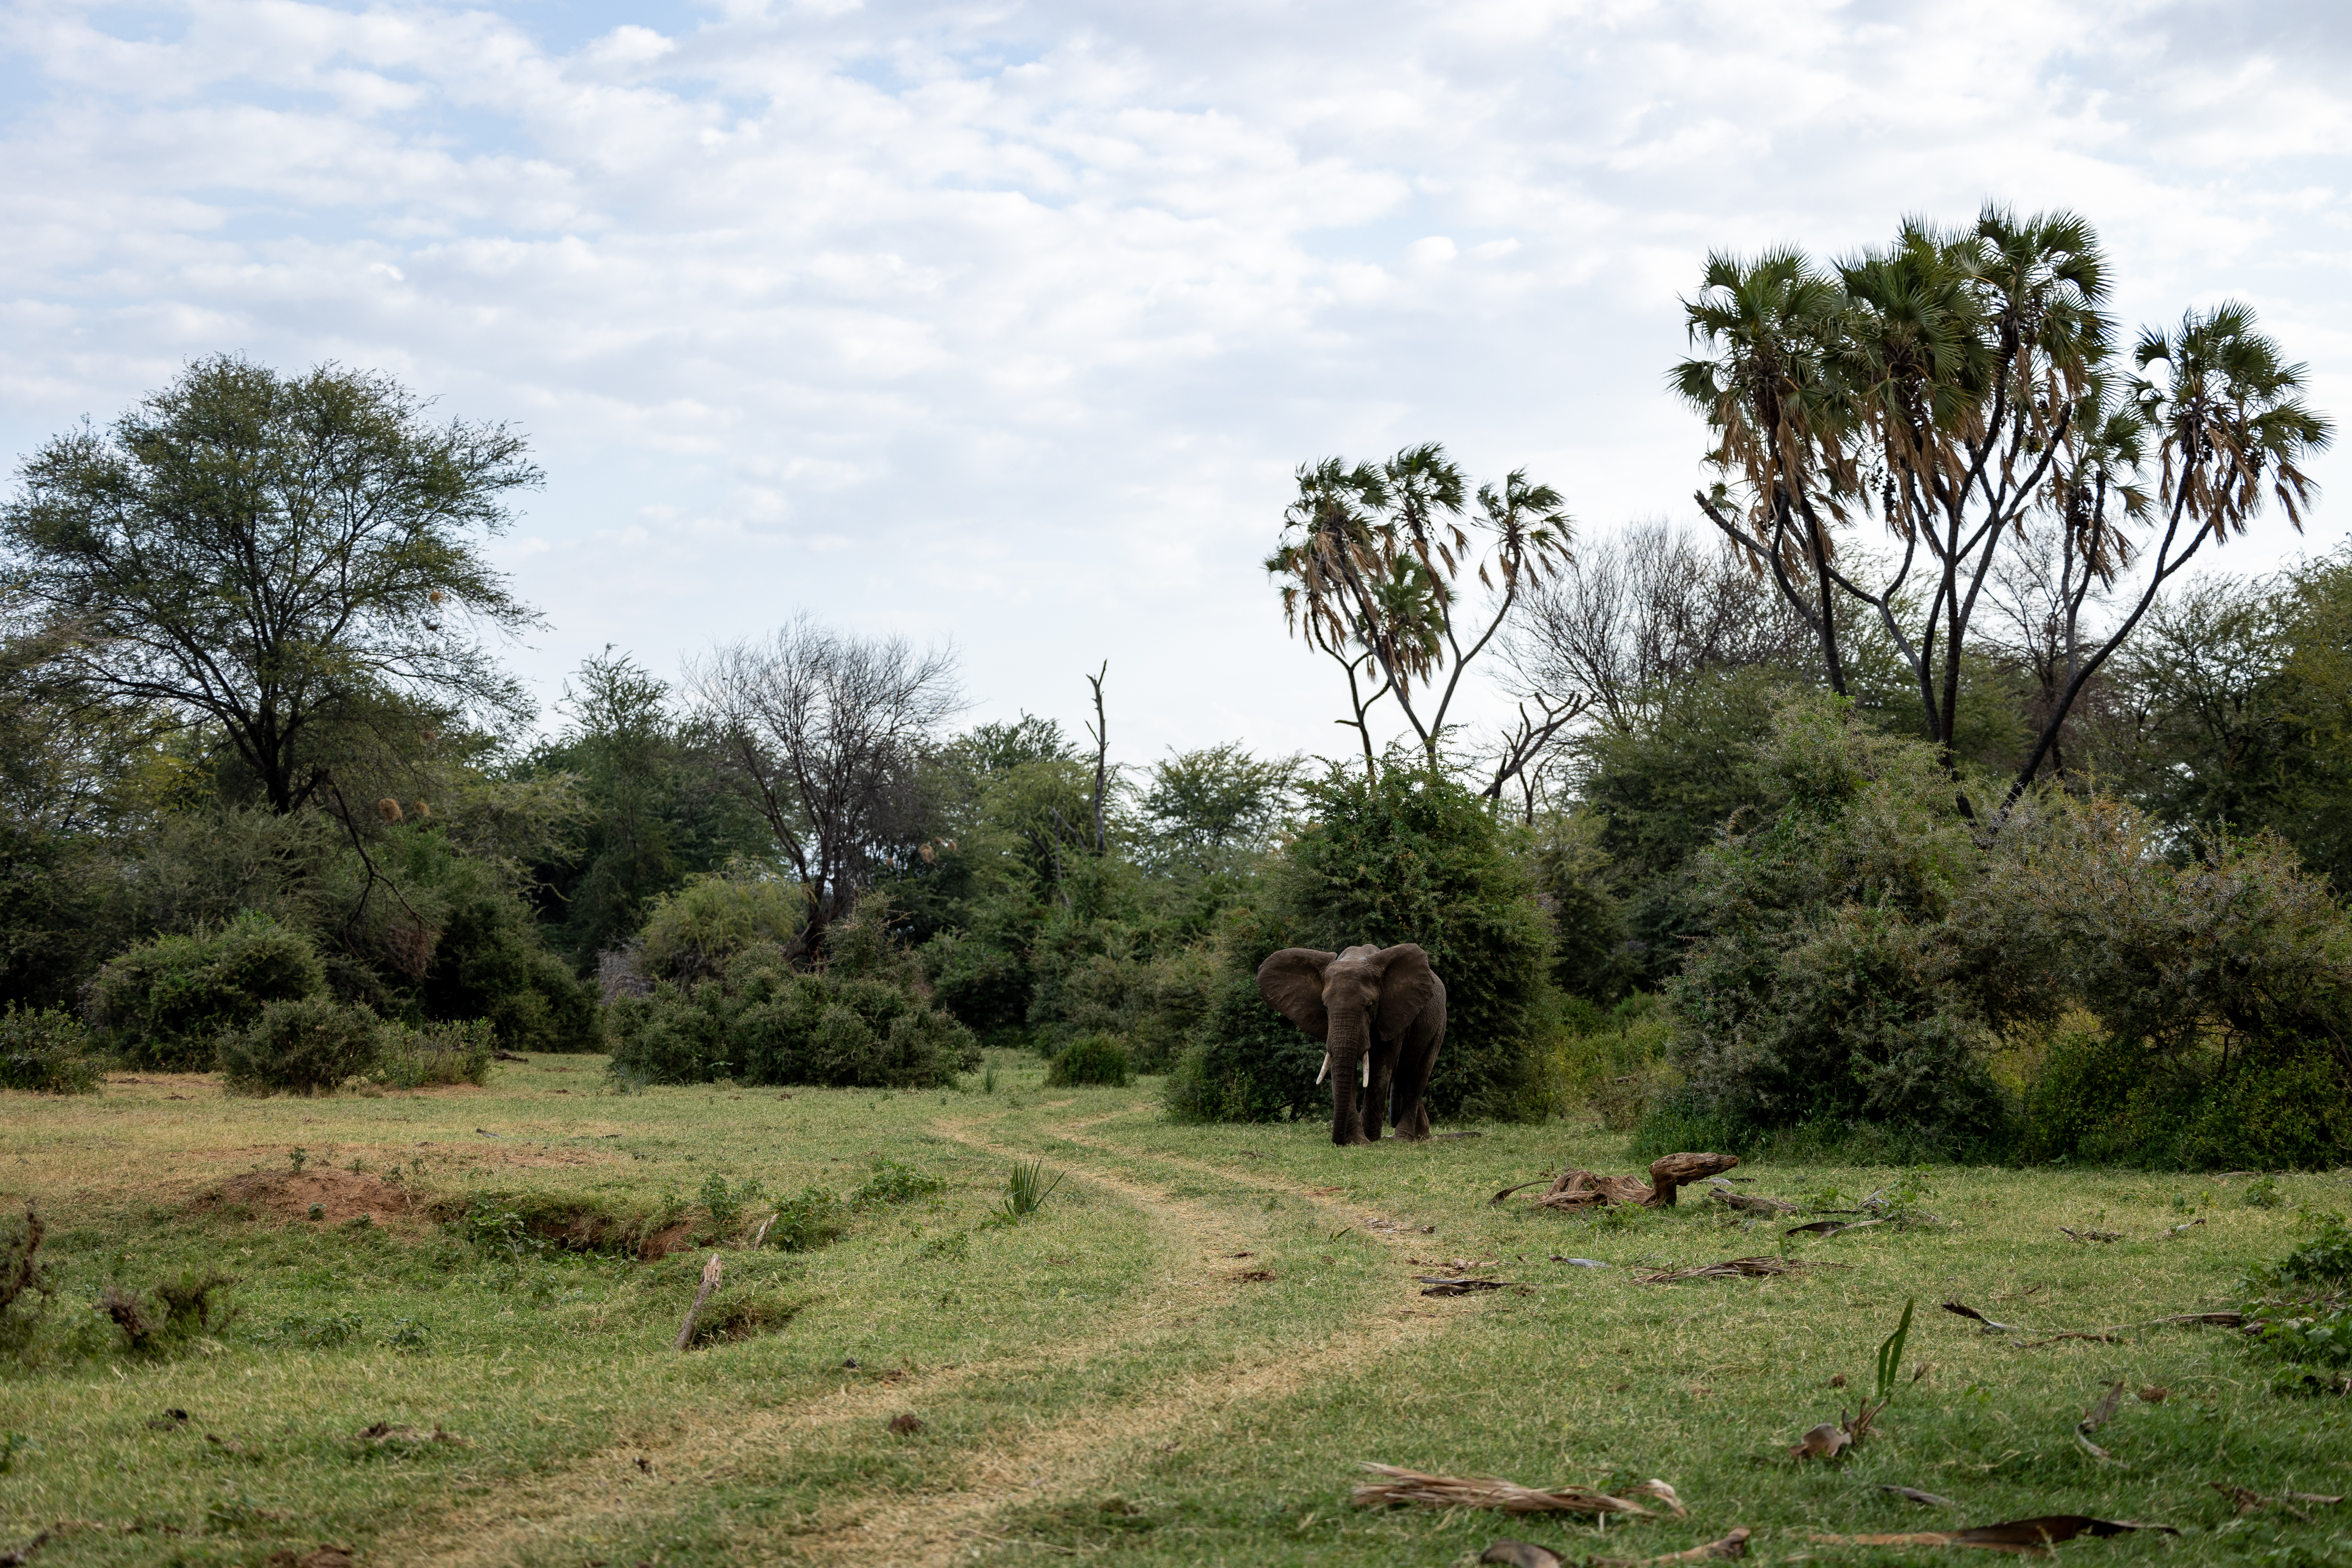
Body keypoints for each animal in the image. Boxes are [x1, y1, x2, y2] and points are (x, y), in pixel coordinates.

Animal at [1260, 940, 1439, 1147]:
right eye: (1325, 1007)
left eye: (1369, 1006)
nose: (1337, 1142)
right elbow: (1341, 1066)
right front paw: (1357, 1140)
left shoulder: (1393, 1014)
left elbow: (1380, 1069)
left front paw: (1369, 1139)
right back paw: (1421, 1136)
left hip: (1438, 1025)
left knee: (1415, 1078)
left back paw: (1404, 1139)